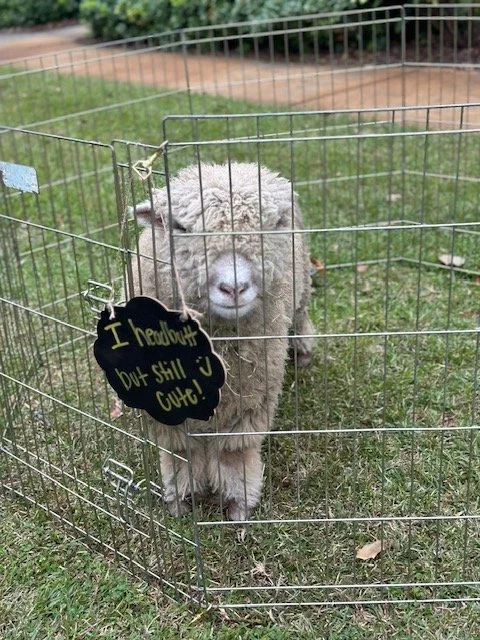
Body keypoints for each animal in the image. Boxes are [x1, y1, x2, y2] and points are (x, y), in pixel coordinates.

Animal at [127, 162, 316, 521]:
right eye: (180, 227)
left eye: (270, 227)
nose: (234, 288)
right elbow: (181, 452)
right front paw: (179, 501)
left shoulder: (250, 400)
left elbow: (233, 455)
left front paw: (238, 505)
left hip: (300, 291)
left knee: (300, 317)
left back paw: (303, 352)